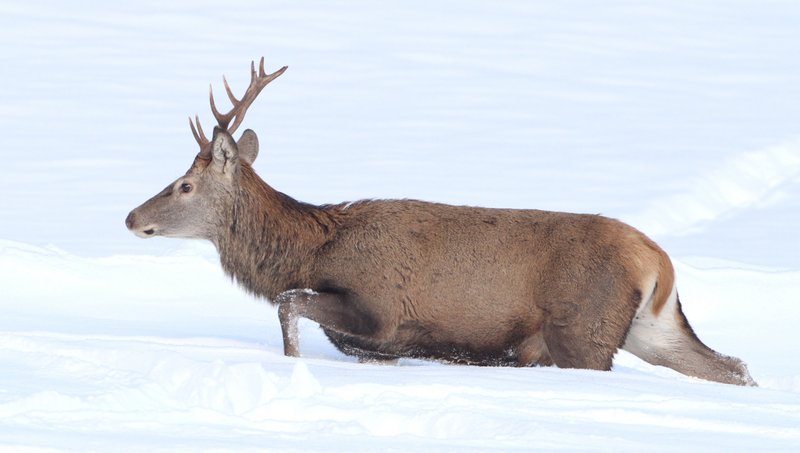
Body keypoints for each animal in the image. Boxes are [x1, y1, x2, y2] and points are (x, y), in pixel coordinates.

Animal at [125, 58, 756, 386]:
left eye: (184, 185)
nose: (131, 217)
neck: (313, 249)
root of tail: (658, 258)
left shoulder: (378, 307)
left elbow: (288, 306)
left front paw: (295, 369)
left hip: (583, 328)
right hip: (651, 325)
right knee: (730, 364)